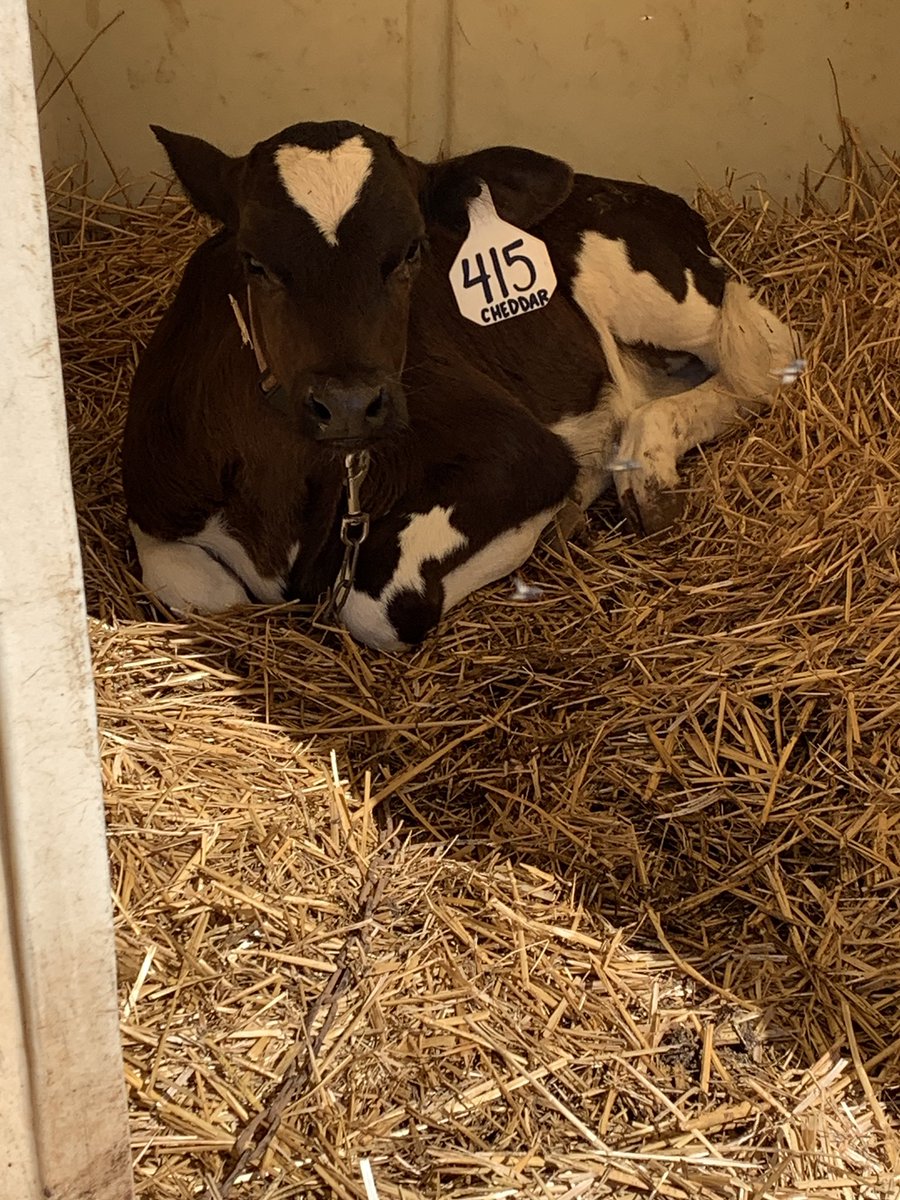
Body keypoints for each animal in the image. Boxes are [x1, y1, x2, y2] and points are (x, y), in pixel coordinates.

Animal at [123, 119, 795, 651]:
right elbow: (202, 593)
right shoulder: (154, 509)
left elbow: (378, 603)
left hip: (655, 290)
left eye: (412, 249)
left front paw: (555, 513)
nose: (348, 405)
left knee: (763, 357)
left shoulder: (523, 454)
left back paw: (644, 470)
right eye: (255, 261)